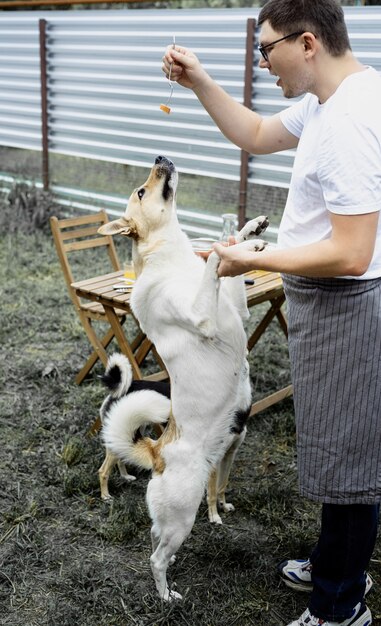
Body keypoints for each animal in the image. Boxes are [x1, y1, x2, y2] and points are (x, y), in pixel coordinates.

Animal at [97, 156, 268, 600]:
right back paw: (165, 595)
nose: (161, 158)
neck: (168, 257)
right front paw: (234, 247)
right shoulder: (202, 315)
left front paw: (251, 232)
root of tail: (157, 453)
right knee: (154, 558)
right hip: (184, 515)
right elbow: (213, 262)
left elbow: (226, 263)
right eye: (142, 191)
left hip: (171, 520)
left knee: (156, 541)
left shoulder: (238, 309)